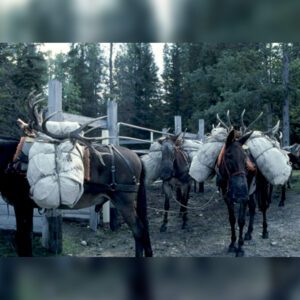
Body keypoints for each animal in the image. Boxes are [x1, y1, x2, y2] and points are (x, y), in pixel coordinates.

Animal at [0, 94, 152, 258]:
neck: (7, 162)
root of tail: (138, 159)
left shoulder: (22, 204)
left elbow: (24, 243)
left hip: (124, 199)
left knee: (139, 230)